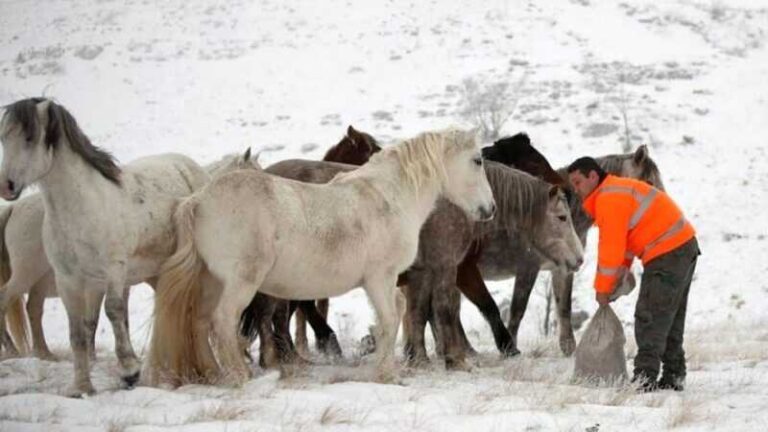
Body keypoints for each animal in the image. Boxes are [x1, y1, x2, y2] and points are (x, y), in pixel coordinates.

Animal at [0, 98, 213, 398]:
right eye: (3, 137)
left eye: (30, 138)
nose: (6, 186)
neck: (82, 207)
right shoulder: (69, 280)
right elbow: (78, 331)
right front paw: (81, 386)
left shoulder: (113, 270)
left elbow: (113, 311)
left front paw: (130, 371)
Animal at [0, 148, 260, 362]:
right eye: (255, 172)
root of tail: (14, 209)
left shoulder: (119, 281)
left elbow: (111, 318)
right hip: (26, 276)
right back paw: (14, 351)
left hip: (39, 285)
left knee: (33, 309)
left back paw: (42, 353)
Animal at [146, 128, 496, 384]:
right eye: (477, 160)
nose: (489, 209)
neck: (388, 197)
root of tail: (197, 201)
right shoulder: (380, 278)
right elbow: (392, 317)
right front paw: (386, 373)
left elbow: (396, 316)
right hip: (239, 284)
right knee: (223, 322)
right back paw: (241, 376)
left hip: (210, 283)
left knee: (200, 323)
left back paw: (215, 373)